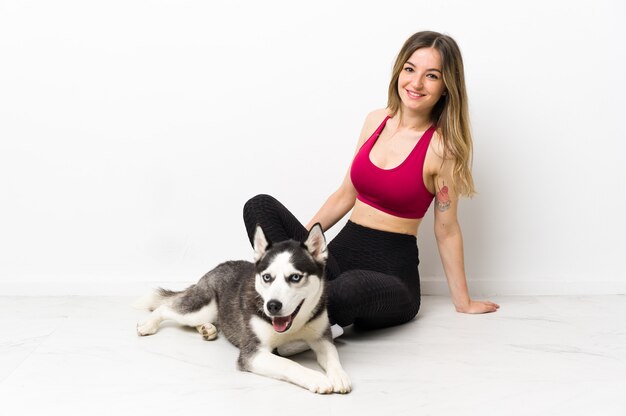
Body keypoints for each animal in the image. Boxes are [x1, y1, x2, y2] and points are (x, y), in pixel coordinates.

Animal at [135, 224, 352, 394]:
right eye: (267, 277)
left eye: (295, 277)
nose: (272, 306)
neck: (294, 324)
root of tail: (217, 267)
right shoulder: (252, 353)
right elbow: (288, 363)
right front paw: (317, 378)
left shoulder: (321, 337)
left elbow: (332, 355)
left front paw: (339, 376)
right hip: (201, 308)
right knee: (166, 308)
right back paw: (148, 325)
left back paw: (207, 329)